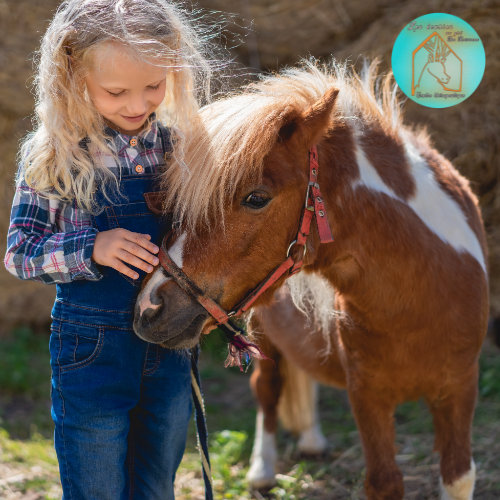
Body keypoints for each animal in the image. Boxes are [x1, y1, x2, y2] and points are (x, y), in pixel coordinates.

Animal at [134, 59, 488, 500]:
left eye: (256, 198)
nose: (149, 307)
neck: (419, 299)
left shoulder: (460, 388)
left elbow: (458, 474)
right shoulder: (367, 395)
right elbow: (385, 482)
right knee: (267, 392)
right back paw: (263, 469)